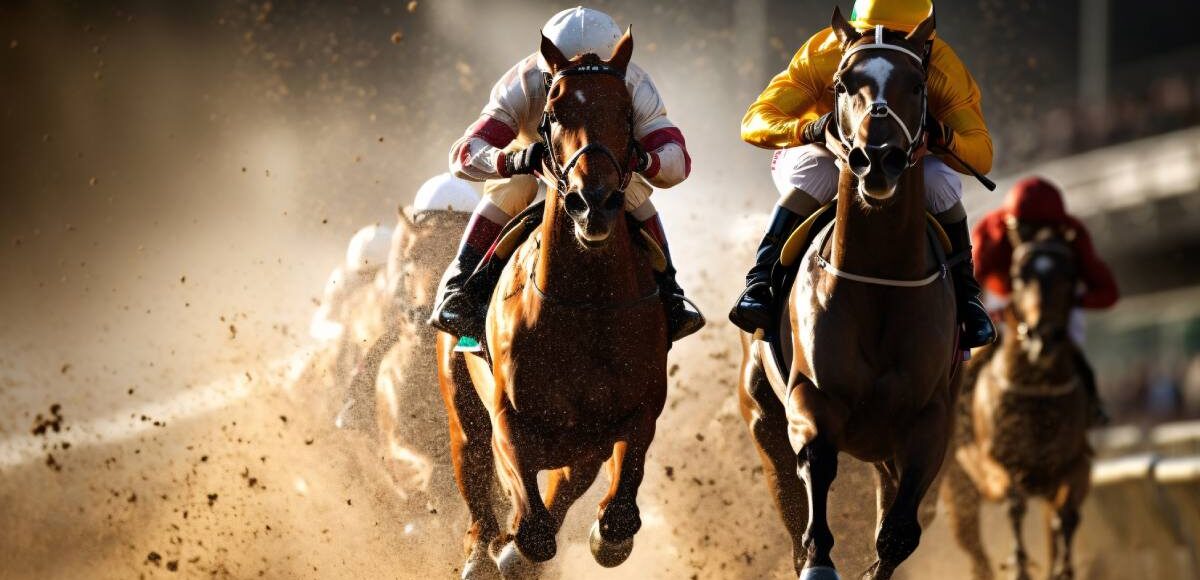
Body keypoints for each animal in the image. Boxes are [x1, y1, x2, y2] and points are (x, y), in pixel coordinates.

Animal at [439, 30, 669, 579]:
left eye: (626, 112)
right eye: (555, 111)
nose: (594, 203)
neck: (586, 308)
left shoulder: (632, 416)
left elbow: (615, 514)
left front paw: (607, 536)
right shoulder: (509, 421)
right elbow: (533, 527)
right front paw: (510, 548)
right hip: (462, 414)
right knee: (476, 476)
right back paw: (482, 552)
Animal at [941, 224, 1091, 580]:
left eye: (1069, 275)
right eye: (1019, 277)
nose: (1043, 336)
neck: (1037, 391)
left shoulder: (1076, 464)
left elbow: (1066, 515)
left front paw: (1063, 569)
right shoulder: (994, 463)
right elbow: (1014, 503)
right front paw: (1019, 565)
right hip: (958, 487)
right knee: (974, 548)